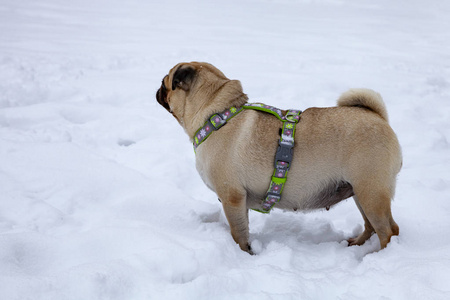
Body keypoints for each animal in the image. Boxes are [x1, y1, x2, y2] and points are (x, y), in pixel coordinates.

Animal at [156, 61, 402, 253]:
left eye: (165, 82)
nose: (157, 89)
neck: (217, 115)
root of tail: (379, 117)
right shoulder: (240, 202)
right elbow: (244, 228)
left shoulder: (231, 198)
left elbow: (239, 234)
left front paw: (244, 254)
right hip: (360, 192)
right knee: (372, 227)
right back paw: (359, 245)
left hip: (370, 192)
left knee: (387, 231)